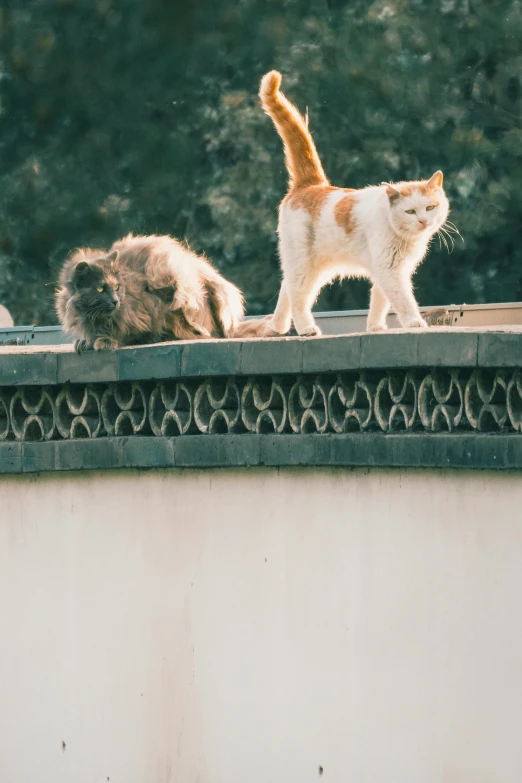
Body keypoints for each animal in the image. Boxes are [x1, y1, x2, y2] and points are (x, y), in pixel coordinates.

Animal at [258, 69, 448, 336]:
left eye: (430, 207)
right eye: (410, 211)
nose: (423, 221)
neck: (403, 236)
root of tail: (311, 184)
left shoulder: (386, 269)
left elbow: (379, 300)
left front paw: (375, 327)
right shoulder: (390, 270)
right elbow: (402, 299)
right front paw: (414, 321)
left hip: (312, 263)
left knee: (286, 286)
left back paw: (277, 326)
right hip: (306, 265)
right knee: (298, 295)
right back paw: (306, 328)